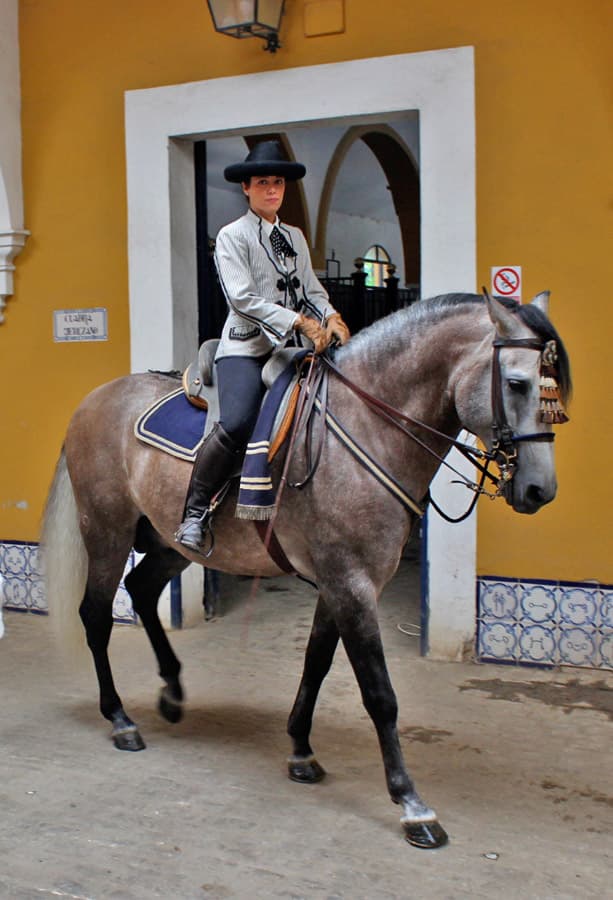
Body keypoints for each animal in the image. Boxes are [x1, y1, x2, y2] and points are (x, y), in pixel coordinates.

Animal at [41, 292, 568, 848]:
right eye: (518, 383)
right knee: (96, 616)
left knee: (140, 590)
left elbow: (316, 663)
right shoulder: (352, 583)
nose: (540, 489)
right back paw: (120, 718)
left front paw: (300, 750)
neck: (368, 427)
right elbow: (379, 694)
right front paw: (411, 803)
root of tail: (94, 399)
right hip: (107, 530)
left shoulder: (340, 583)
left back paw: (172, 692)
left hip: (169, 542)